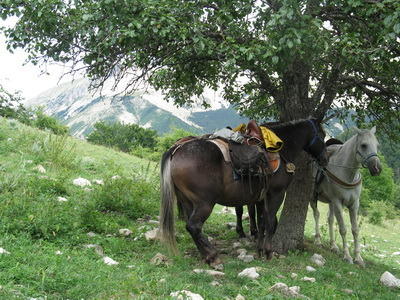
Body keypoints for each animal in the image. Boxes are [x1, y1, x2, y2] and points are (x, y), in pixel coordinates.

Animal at [159, 117, 328, 264]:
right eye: (323, 135)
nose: (325, 159)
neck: (281, 149)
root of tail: (176, 150)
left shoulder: (261, 197)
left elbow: (261, 222)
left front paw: (259, 249)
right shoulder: (276, 194)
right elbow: (270, 222)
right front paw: (268, 252)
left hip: (187, 202)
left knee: (191, 226)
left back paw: (206, 255)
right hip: (204, 203)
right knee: (194, 226)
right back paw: (212, 255)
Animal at [310, 126, 382, 264]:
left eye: (377, 145)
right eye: (364, 145)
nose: (377, 168)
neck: (347, 174)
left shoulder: (354, 205)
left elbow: (355, 230)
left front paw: (358, 258)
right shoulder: (338, 202)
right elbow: (343, 229)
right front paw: (347, 256)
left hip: (330, 202)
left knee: (330, 219)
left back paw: (333, 245)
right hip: (313, 197)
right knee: (316, 215)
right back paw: (317, 240)